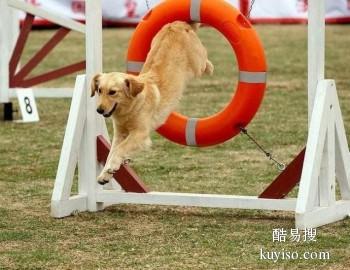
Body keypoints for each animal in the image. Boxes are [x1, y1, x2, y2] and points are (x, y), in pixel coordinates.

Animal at [90, 22, 213, 185]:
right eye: (99, 90)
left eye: (112, 92)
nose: (99, 110)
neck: (131, 108)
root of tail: (177, 24)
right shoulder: (120, 134)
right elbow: (112, 151)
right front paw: (105, 174)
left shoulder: (140, 133)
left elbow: (120, 149)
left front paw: (112, 167)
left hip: (197, 63)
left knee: (207, 64)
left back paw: (210, 67)